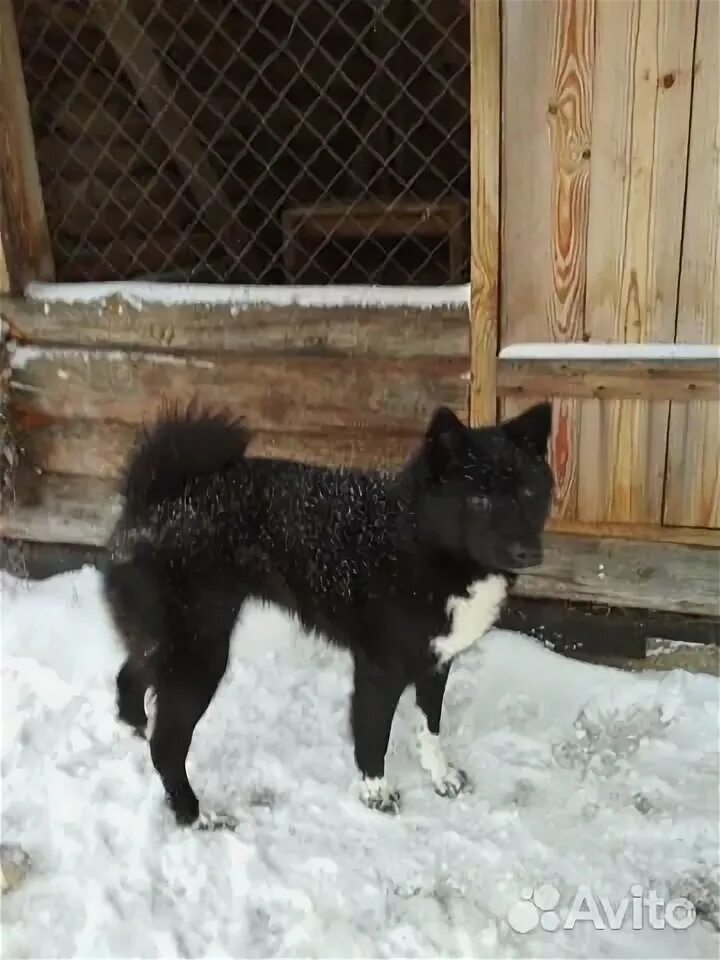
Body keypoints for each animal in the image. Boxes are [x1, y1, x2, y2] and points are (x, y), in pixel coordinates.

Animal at [102, 402, 552, 828]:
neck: (417, 538)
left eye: (530, 493)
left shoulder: (436, 661)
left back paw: (133, 732)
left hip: (171, 644)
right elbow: (373, 736)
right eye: (478, 499)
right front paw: (376, 794)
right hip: (200, 653)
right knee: (167, 744)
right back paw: (195, 815)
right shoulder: (379, 670)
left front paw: (440, 776)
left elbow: (431, 727)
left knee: (129, 676)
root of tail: (157, 497)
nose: (529, 552)